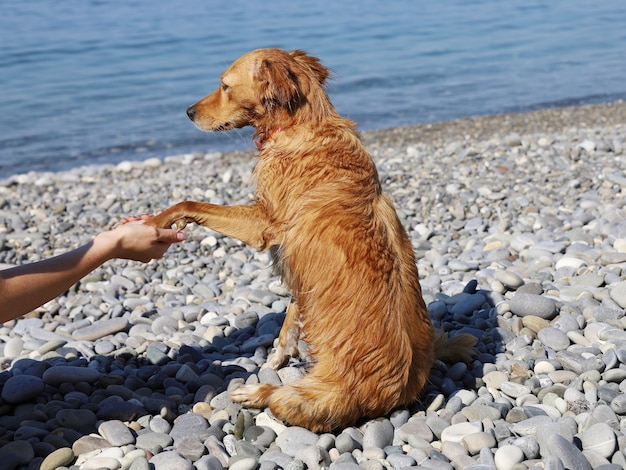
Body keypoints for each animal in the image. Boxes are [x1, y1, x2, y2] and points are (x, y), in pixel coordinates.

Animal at [146, 48, 476, 434]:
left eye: (225, 86)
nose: (188, 112)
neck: (302, 126)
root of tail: (402, 390)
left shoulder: (263, 224)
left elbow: (190, 203)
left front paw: (156, 221)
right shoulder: (298, 267)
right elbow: (293, 311)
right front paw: (279, 353)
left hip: (307, 398)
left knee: (280, 399)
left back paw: (255, 391)